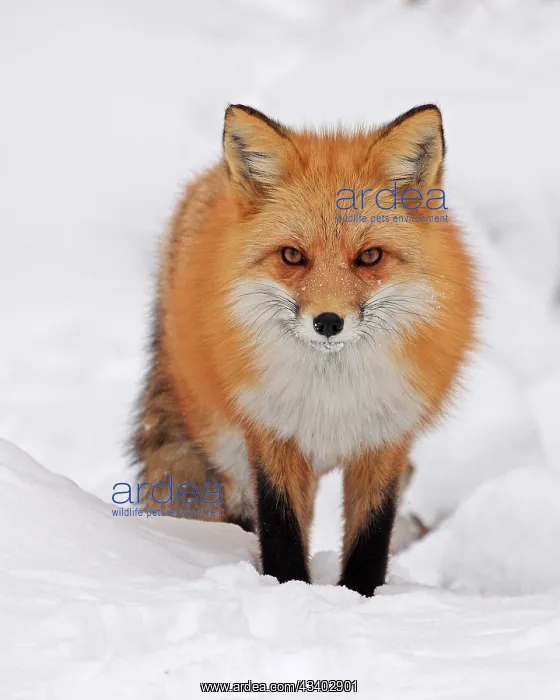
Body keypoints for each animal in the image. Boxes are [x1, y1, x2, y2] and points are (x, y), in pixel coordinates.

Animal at [132, 103, 477, 597]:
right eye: (293, 256)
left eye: (370, 257)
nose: (328, 322)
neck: (331, 396)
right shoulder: (271, 432)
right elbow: (281, 528)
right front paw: (289, 590)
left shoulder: (386, 438)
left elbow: (372, 533)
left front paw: (360, 597)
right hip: (220, 440)